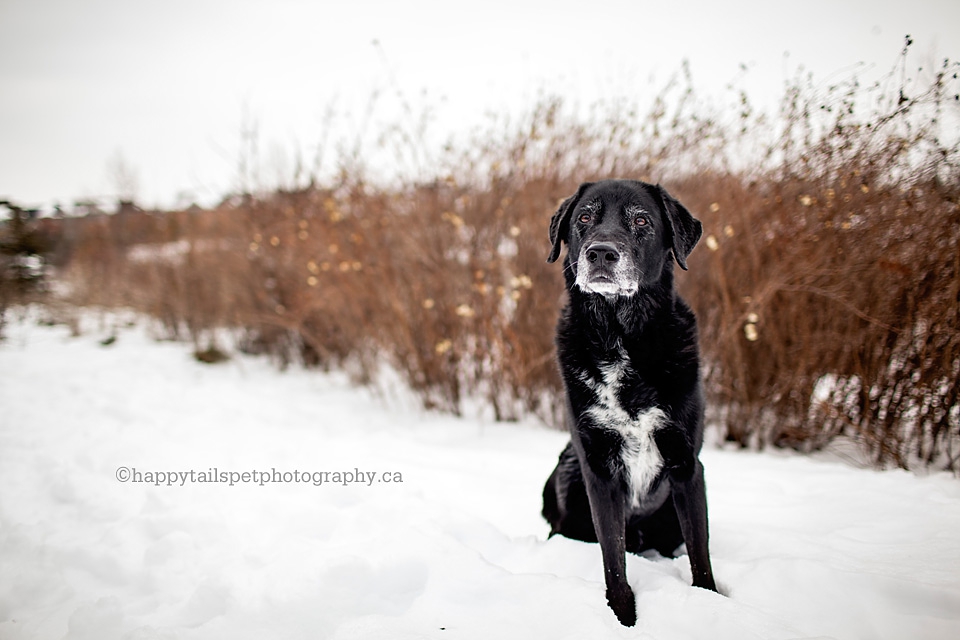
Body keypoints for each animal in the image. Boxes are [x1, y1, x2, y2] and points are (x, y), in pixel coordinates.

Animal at [540, 179, 712, 624]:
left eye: (642, 221)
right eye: (584, 217)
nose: (601, 252)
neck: (619, 334)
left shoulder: (687, 465)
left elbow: (700, 552)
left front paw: (711, 602)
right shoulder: (598, 468)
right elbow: (612, 557)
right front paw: (623, 616)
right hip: (568, 467)